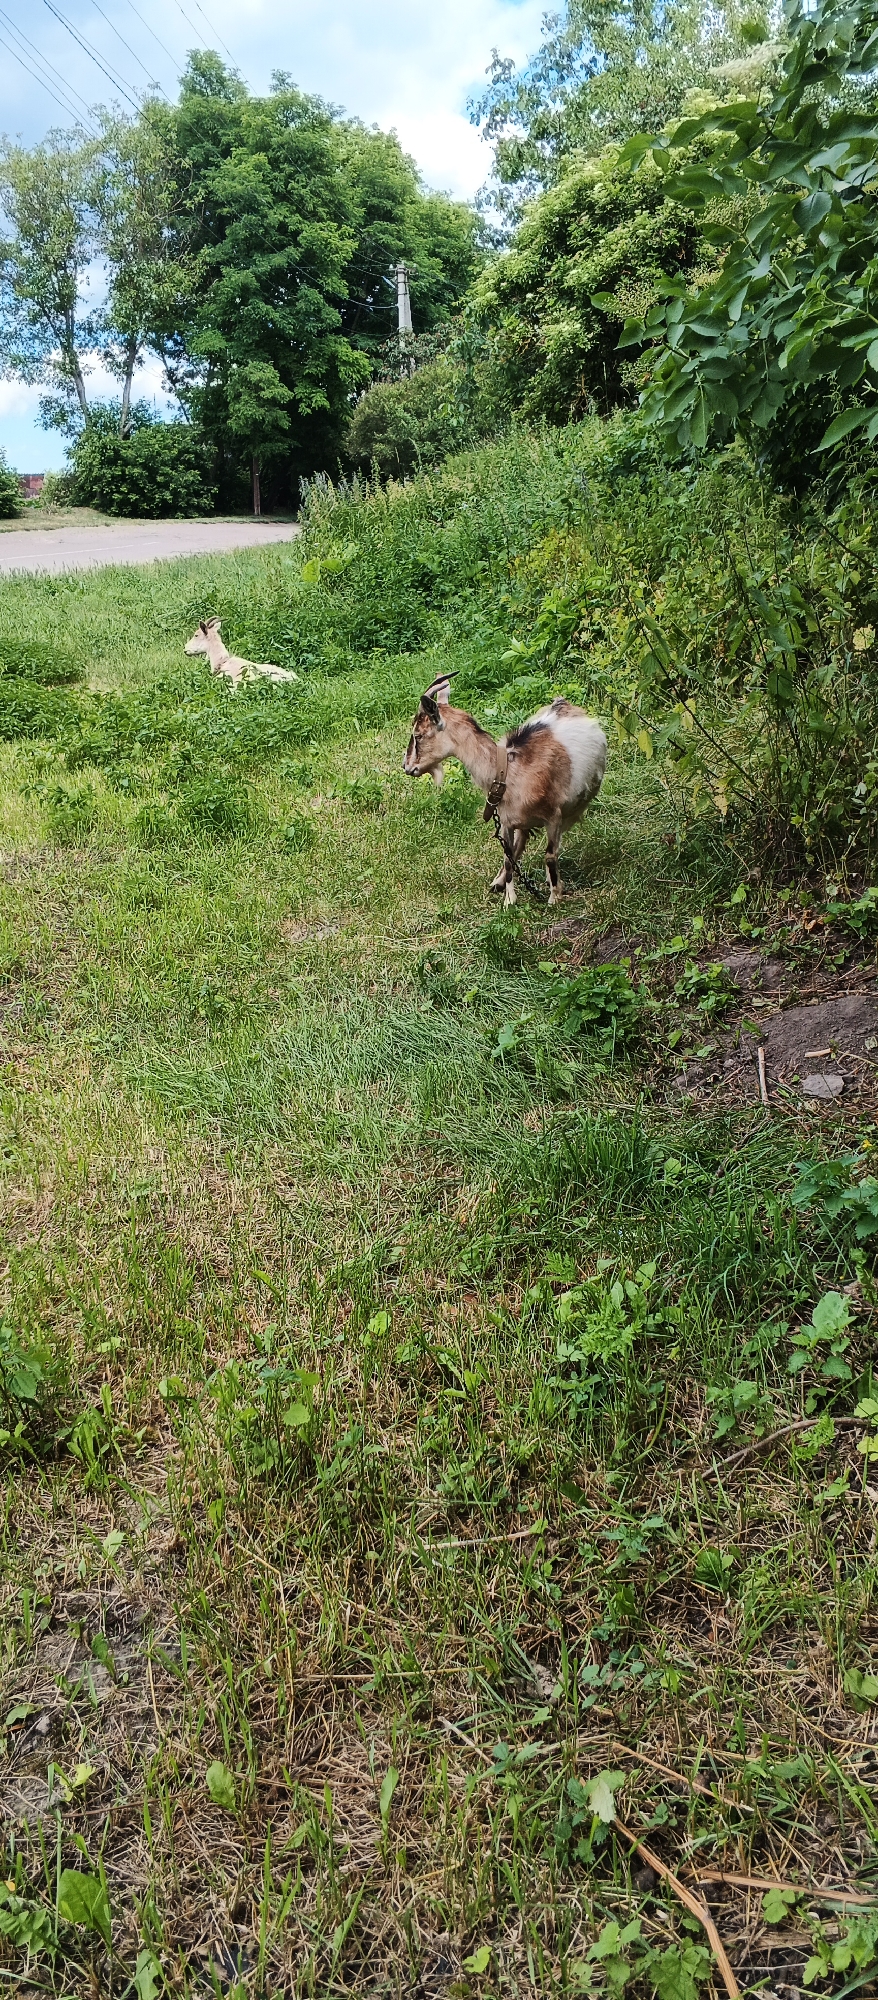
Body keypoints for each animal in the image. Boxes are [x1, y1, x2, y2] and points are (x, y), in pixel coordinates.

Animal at [403, 674, 606, 905]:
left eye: (418, 735)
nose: (407, 767)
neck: (508, 772)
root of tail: (563, 703)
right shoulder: (506, 821)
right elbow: (509, 857)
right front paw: (509, 900)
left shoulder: (554, 816)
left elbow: (550, 855)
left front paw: (554, 896)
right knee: (521, 842)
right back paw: (498, 882)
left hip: (572, 808)